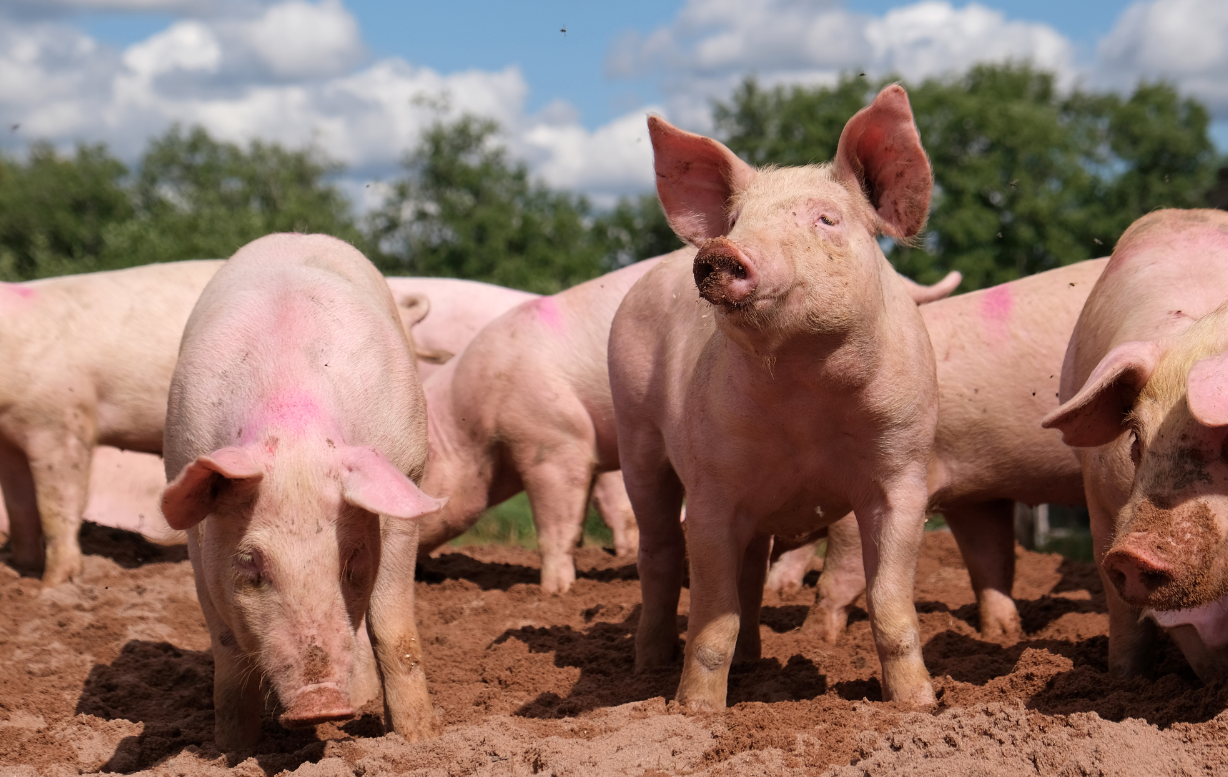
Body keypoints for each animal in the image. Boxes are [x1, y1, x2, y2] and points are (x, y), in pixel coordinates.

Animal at [160, 233, 444, 746]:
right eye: (250, 563)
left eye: (351, 560)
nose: (320, 704)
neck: (293, 423)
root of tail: (297, 234)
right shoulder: (194, 525)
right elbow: (226, 647)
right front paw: (231, 749)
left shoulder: (404, 478)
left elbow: (393, 630)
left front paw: (418, 740)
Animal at [611, 84, 938, 707]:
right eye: (738, 219)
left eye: (826, 219)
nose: (720, 250)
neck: (805, 393)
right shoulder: (712, 489)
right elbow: (712, 618)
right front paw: (695, 712)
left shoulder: (904, 474)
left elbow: (889, 606)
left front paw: (918, 707)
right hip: (636, 436)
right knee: (659, 554)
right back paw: (645, 670)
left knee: (752, 573)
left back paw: (753, 663)